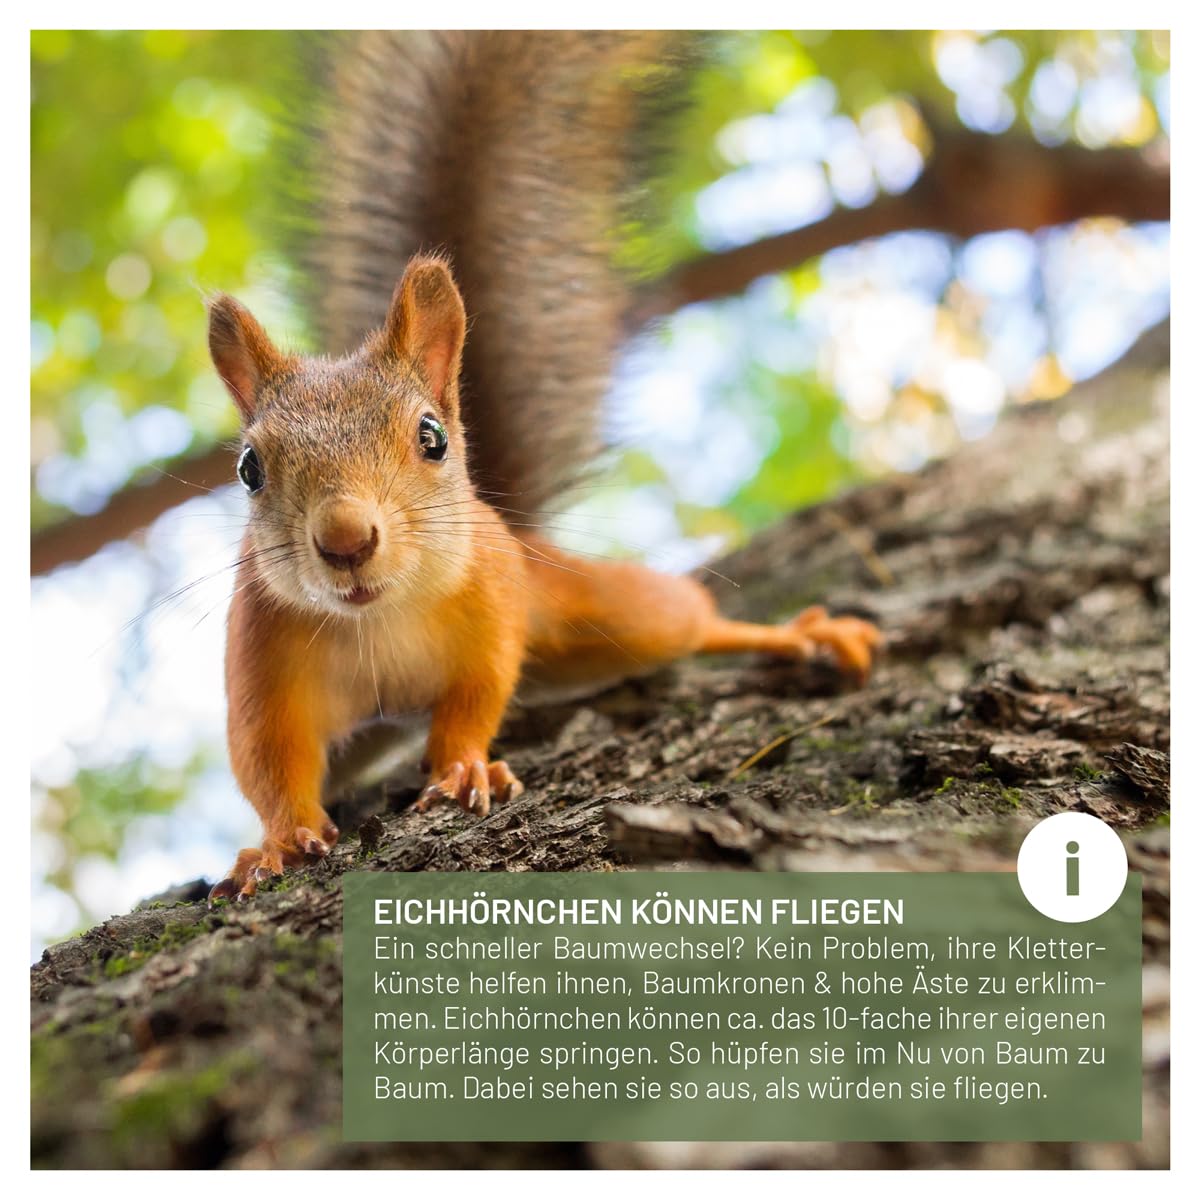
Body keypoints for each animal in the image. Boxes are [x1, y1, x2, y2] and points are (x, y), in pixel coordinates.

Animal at [206, 31, 881, 901]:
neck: (377, 621)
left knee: (684, 622)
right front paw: (277, 842)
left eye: (433, 438)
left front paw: (464, 769)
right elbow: (266, 758)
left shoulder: (491, 602)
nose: (346, 541)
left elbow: (476, 696)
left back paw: (795, 635)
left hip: (593, 608)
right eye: (250, 468)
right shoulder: (261, 652)